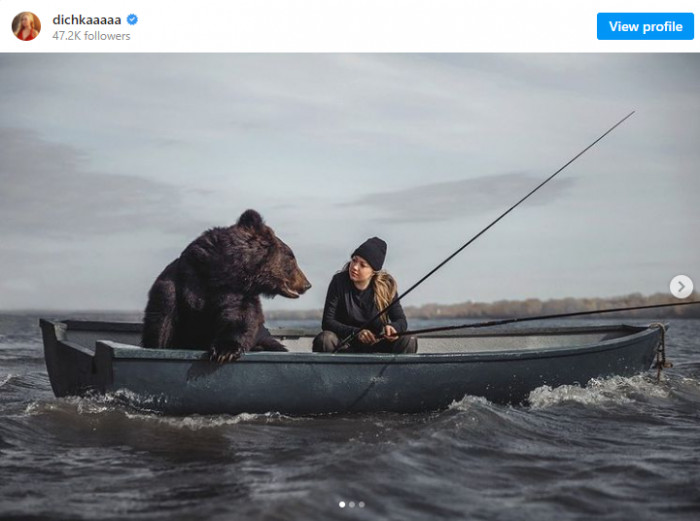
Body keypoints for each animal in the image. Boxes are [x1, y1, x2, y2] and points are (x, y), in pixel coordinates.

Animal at [141, 209, 311, 362]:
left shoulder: (236, 293)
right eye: (292, 257)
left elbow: (239, 317)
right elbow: (161, 323)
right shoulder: (180, 283)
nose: (307, 284)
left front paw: (225, 351)